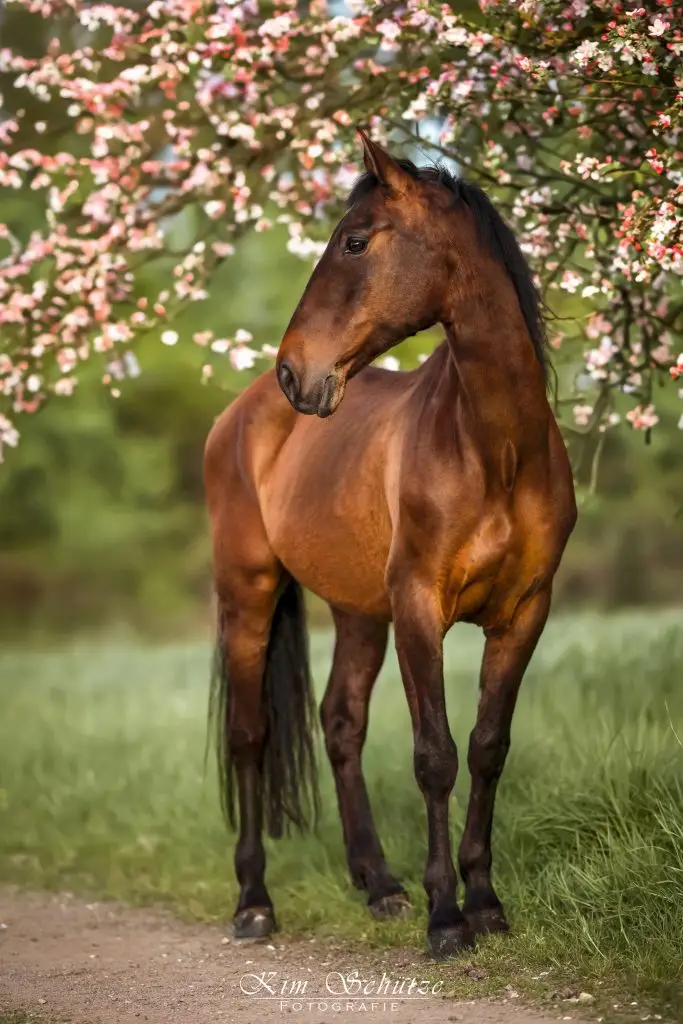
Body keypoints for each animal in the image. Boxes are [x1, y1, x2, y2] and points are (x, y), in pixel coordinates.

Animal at [204, 129, 577, 959]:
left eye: (354, 241)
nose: (295, 371)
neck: (496, 448)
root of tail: (241, 413)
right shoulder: (418, 609)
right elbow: (433, 756)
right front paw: (446, 920)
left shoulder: (523, 615)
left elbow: (486, 747)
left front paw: (485, 903)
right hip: (248, 594)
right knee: (249, 736)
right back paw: (253, 903)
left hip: (356, 612)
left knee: (340, 724)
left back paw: (377, 885)